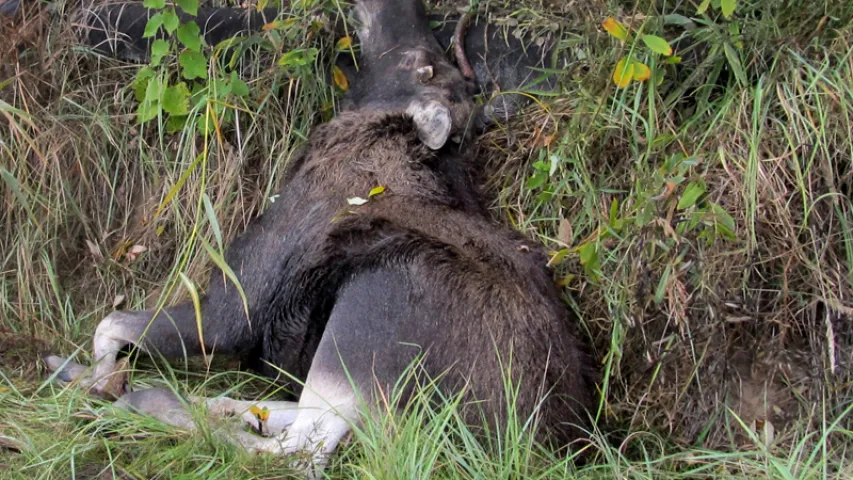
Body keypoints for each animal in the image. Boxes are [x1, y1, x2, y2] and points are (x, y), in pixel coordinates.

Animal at [45, 0, 592, 474]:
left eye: (423, 66)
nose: (397, 5)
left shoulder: (233, 307)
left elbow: (111, 325)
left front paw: (99, 382)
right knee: (275, 417)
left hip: (370, 318)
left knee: (298, 451)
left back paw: (147, 399)